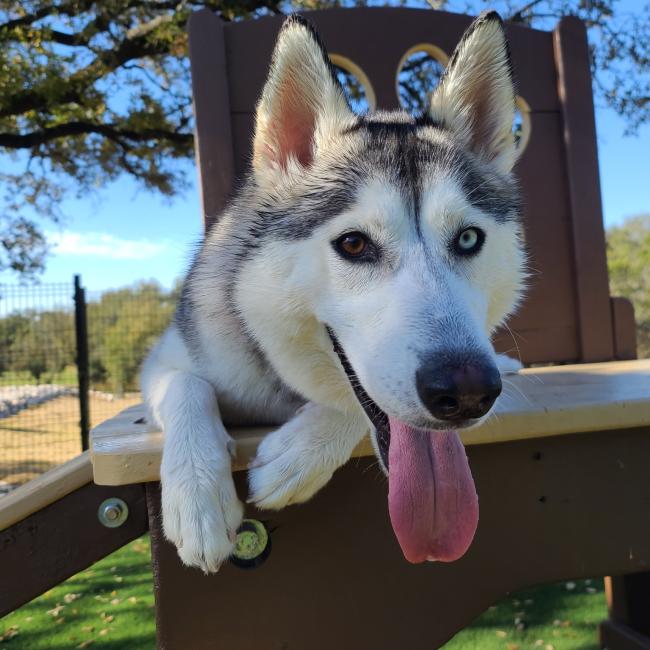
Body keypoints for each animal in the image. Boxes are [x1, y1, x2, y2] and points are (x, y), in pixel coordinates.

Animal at [140, 11, 520, 572]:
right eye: (354, 244)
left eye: (469, 238)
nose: (470, 391)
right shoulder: (165, 362)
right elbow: (187, 387)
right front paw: (197, 496)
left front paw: (300, 453)